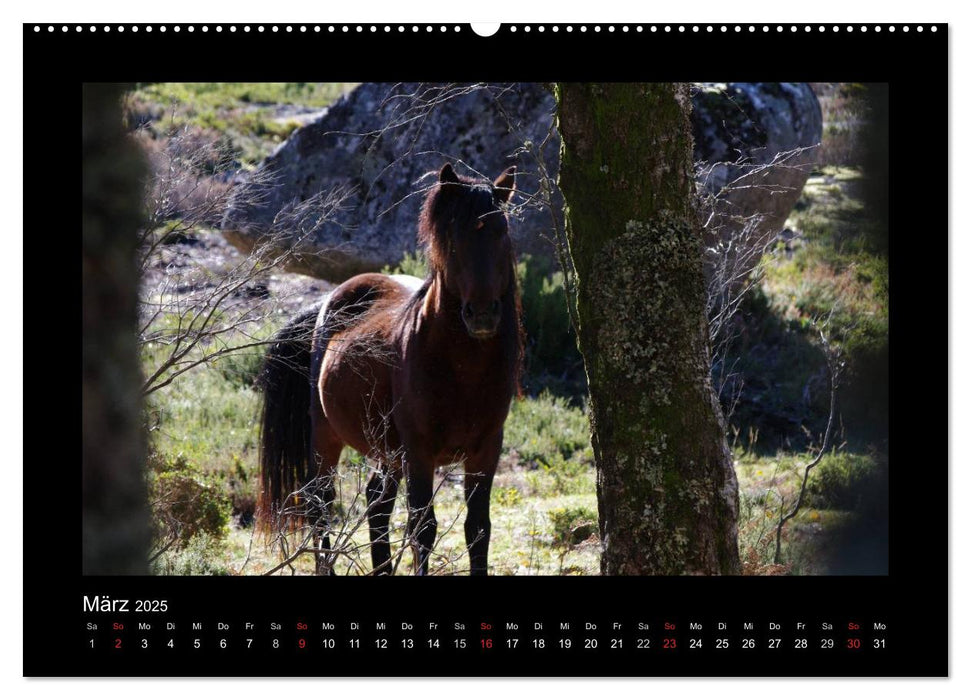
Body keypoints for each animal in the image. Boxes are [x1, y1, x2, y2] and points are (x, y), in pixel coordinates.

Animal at [254, 164, 520, 576]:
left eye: (501, 233)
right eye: (453, 240)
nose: (483, 314)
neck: (465, 370)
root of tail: (327, 301)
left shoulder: (486, 450)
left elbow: (478, 528)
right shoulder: (420, 452)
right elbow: (423, 528)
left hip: (388, 452)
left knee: (376, 504)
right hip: (327, 436)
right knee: (321, 502)